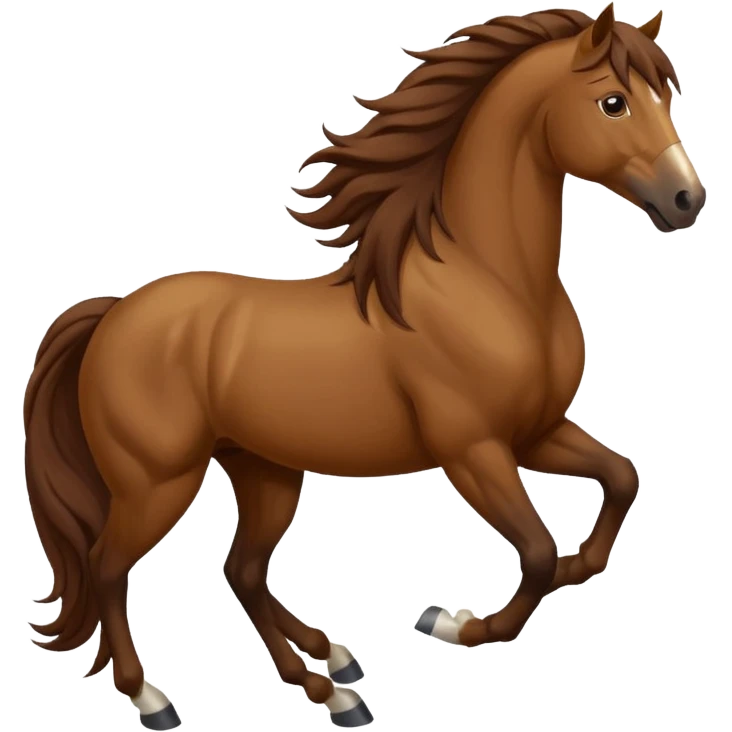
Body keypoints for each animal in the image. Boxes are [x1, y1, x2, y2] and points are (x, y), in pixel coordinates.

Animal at [23, 4, 705, 729]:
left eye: (666, 97)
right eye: (613, 102)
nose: (686, 199)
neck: (491, 282)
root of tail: (113, 316)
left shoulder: (535, 433)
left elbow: (621, 480)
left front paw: (567, 573)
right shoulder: (474, 450)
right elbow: (539, 553)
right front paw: (453, 623)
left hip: (264, 469)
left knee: (242, 572)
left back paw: (331, 677)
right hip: (156, 483)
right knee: (107, 568)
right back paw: (153, 697)